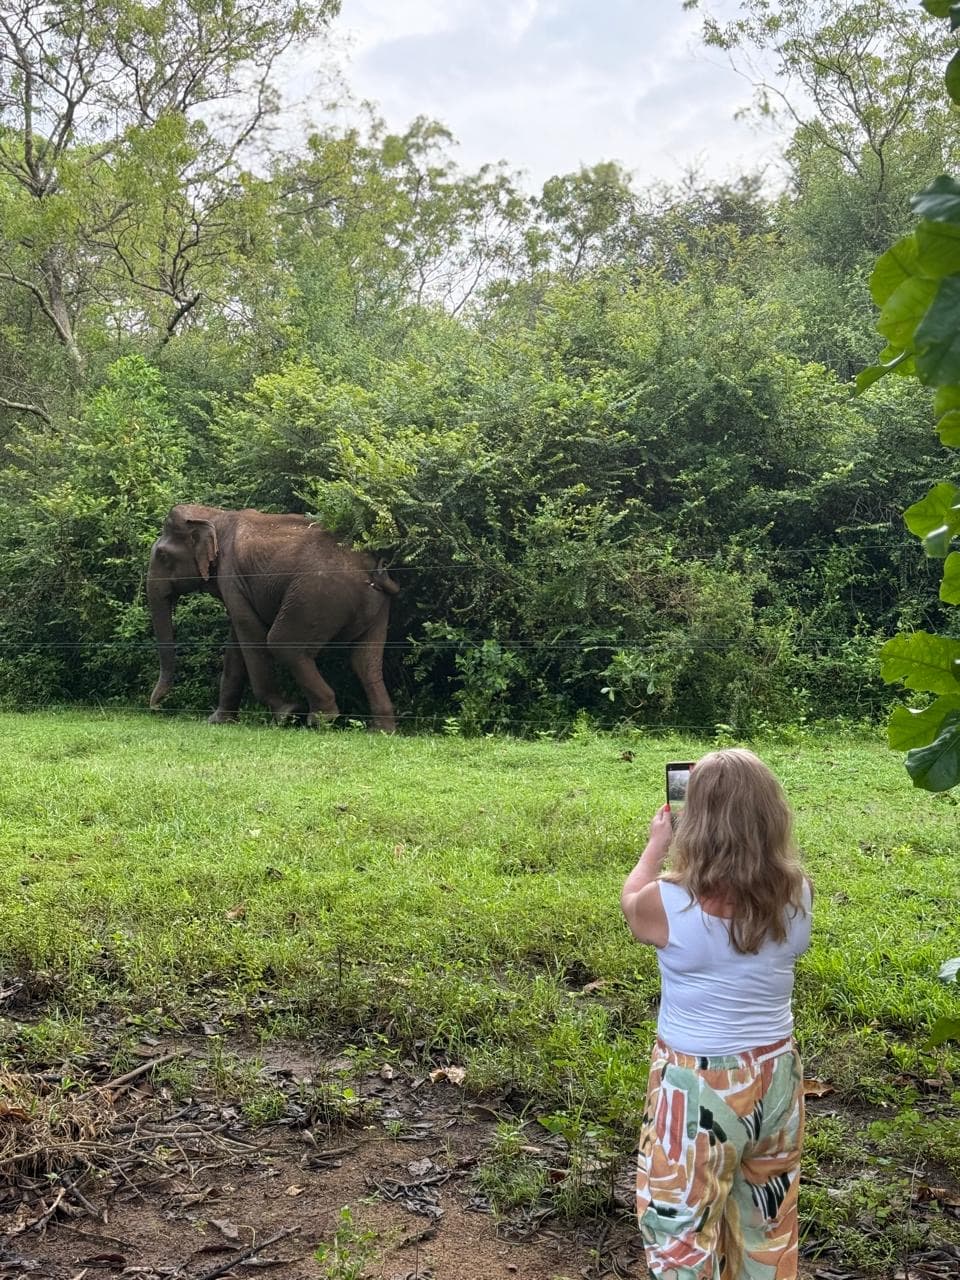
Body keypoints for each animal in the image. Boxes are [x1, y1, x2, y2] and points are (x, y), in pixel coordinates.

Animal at [147, 504, 398, 730]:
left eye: (162, 556)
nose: (155, 707)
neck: (213, 515)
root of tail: (371, 569)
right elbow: (236, 641)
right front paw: (218, 721)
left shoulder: (231, 575)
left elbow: (250, 632)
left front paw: (287, 714)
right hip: (373, 604)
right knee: (365, 660)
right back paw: (382, 729)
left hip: (316, 594)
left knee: (283, 643)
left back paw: (320, 720)